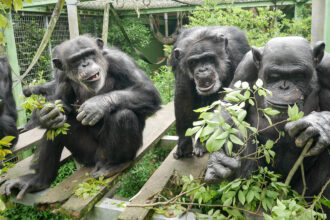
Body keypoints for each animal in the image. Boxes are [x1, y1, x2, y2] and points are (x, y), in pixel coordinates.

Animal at [2, 36, 162, 199]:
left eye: (89, 53)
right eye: (75, 60)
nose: (85, 64)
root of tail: (97, 161)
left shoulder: (121, 60)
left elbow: (147, 90)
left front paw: (96, 105)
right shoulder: (62, 75)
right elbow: (61, 101)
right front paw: (45, 115)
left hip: (105, 154)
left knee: (124, 115)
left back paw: (114, 165)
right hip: (85, 155)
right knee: (58, 126)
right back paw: (38, 180)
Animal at [171, 26, 249, 159]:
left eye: (208, 58)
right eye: (193, 62)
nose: (203, 70)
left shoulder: (237, 55)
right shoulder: (180, 66)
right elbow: (183, 95)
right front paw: (184, 143)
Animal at [206, 36, 330, 215]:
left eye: (298, 75)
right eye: (274, 76)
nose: (284, 86)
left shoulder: (328, 67)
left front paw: (320, 124)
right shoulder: (245, 67)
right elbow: (231, 105)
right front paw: (217, 160)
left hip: (297, 193)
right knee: (240, 132)